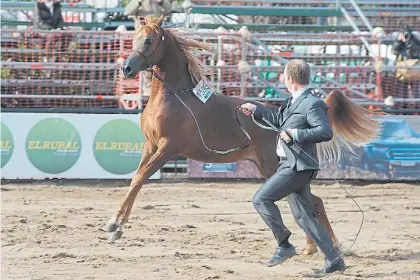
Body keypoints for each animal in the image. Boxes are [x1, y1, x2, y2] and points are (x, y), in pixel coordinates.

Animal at [102, 15, 380, 256]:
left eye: (149, 41)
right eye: (134, 38)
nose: (127, 69)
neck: (175, 98)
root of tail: (281, 126)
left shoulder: (168, 148)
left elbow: (140, 179)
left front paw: (114, 225)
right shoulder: (150, 146)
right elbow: (135, 179)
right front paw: (117, 226)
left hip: (274, 170)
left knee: (314, 203)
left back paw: (331, 247)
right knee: (311, 202)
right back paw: (313, 248)